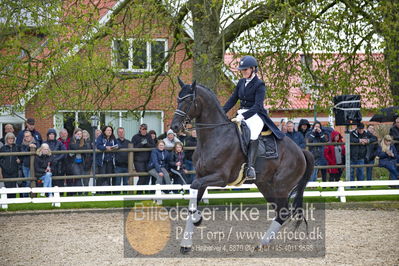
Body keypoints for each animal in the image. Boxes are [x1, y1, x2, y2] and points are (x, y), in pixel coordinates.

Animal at [170, 77, 314, 254]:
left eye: (189, 100)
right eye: (178, 99)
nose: (174, 127)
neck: (215, 136)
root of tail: (301, 151)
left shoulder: (221, 178)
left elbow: (194, 189)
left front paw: (197, 219)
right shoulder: (202, 177)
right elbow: (194, 196)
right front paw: (186, 242)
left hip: (281, 186)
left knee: (283, 212)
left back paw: (262, 242)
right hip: (266, 186)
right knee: (281, 211)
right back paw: (263, 243)